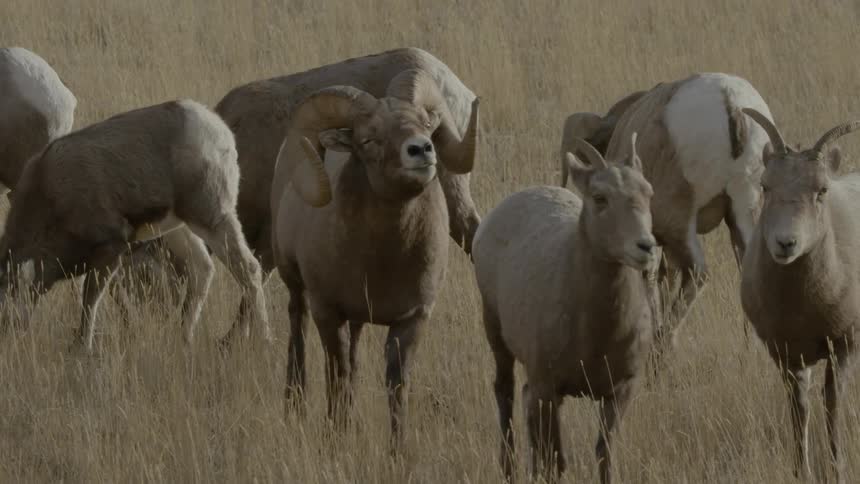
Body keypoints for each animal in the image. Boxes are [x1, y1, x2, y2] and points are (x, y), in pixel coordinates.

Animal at [0, 99, 270, 352]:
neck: (49, 191)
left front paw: (83, 347)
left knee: (249, 268)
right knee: (202, 269)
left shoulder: (111, 249)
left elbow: (90, 297)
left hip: (213, 219)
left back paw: (266, 340)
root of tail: (218, 129)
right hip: (180, 229)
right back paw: (183, 340)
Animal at [271, 68, 478, 443]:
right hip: (295, 285)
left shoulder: (411, 319)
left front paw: (397, 448)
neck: (382, 260)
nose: (421, 150)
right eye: (368, 140)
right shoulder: (328, 312)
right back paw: (294, 406)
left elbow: (396, 388)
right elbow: (336, 379)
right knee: (298, 337)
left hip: (357, 319)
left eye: (427, 125)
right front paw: (335, 439)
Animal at [473, 135, 656, 483]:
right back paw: (507, 470)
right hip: (496, 335)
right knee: (505, 393)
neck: (597, 336)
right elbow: (555, 463)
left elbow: (604, 456)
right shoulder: (548, 388)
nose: (646, 247)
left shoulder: (619, 392)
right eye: (600, 197)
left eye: (647, 192)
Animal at [740, 109, 860, 483]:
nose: (786, 243)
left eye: (822, 189)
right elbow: (800, 409)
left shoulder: (844, 345)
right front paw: (801, 471)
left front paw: (838, 469)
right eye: (765, 186)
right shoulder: (786, 353)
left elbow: (832, 404)